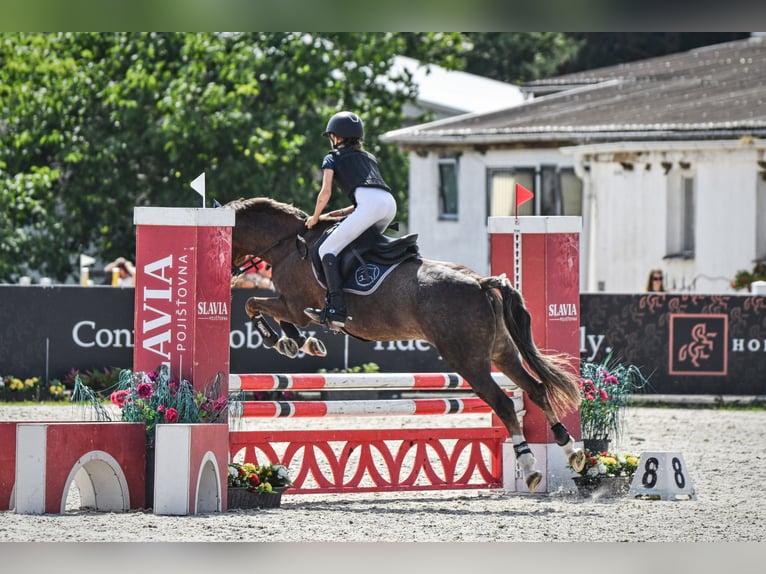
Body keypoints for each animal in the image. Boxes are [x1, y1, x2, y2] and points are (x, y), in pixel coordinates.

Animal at [225, 197, 584, 490]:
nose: (230, 275)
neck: (288, 244)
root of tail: (481, 282)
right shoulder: (294, 308)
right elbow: (276, 317)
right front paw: (299, 344)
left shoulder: (295, 306)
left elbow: (253, 305)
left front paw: (280, 340)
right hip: (502, 353)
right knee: (536, 389)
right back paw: (571, 450)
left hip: (468, 362)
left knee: (505, 403)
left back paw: (530, 467)